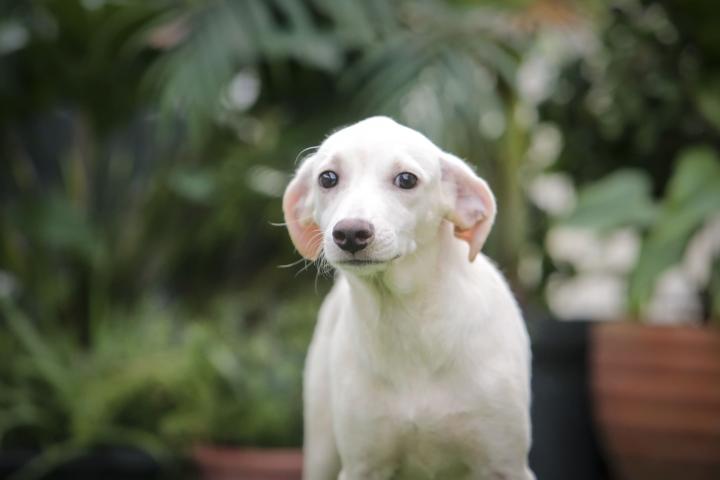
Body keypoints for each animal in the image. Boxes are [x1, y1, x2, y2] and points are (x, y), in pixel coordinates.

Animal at [283, 117, 534, 480]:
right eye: (327, 178)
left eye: (406, 179)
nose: (350, 233)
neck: (405, 319)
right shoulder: (362, 465)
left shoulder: (505, 463)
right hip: (320, 447)